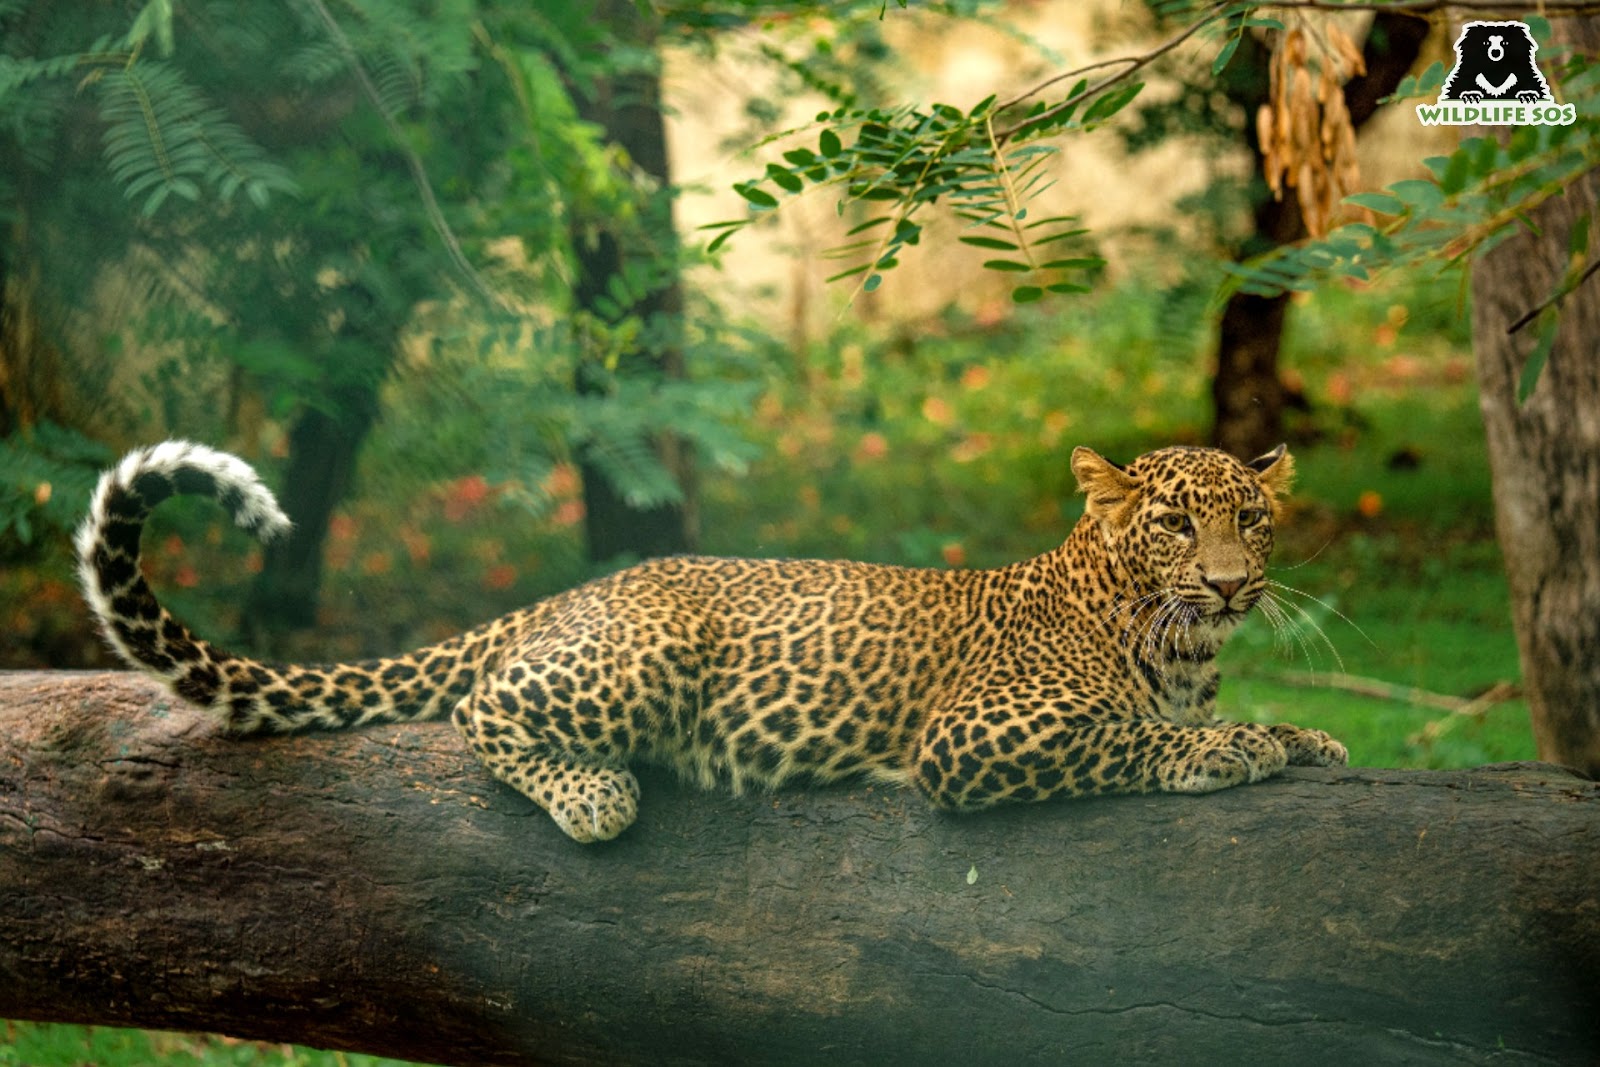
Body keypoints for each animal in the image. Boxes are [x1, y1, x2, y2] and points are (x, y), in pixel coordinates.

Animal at [78, 438, 1350, 838]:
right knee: (485, 705)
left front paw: (1307, 738)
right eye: (1174, 522)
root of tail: (575, 590)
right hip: (643, 661)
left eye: (1251, 517)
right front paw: (1228, 749)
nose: (1229, 583)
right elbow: (1123, 739)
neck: (1178, 650)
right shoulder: (974, 736)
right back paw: (595, 797)